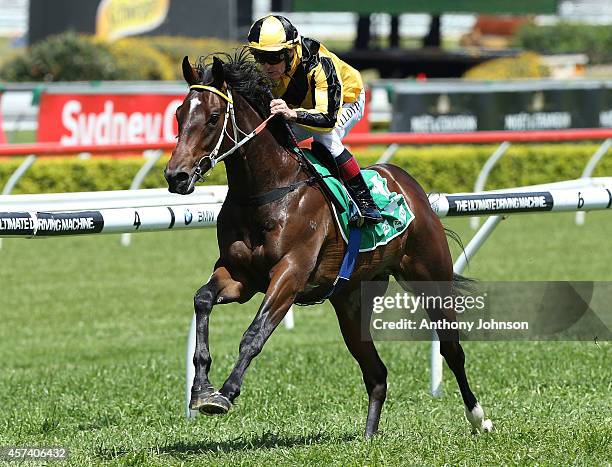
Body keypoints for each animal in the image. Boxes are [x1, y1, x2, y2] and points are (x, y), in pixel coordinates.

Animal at [163, 52, 492, 438]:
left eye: (214, 117)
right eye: (179, 114)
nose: (176, 176)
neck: (267, 191)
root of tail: (408, 183)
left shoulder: (290, 275)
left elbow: (254, 333)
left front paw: (226, 393)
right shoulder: (238, 276)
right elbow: (202, 299)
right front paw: (201, 387)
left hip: (430, 278)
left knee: (451, 350)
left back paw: (479, 418)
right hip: (351, 300)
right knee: (376, 372)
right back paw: (368, 437)